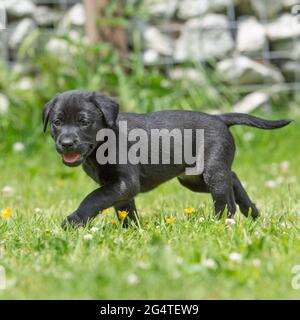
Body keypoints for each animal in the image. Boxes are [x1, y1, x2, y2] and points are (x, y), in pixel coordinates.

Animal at [42, 90, 290, 228]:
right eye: (57, 122)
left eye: (84, 122)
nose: (66, 143)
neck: (102, 144)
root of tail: (219, 118)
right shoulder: (119, 188)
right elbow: (125, 210)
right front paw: (132, 232)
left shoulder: (123, 183)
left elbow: (93, 198)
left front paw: (72, 222)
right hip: (193, 178)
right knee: (234, 178)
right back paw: (253, 213)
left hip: (211, 172)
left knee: (225, 199)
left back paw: (220, 223)